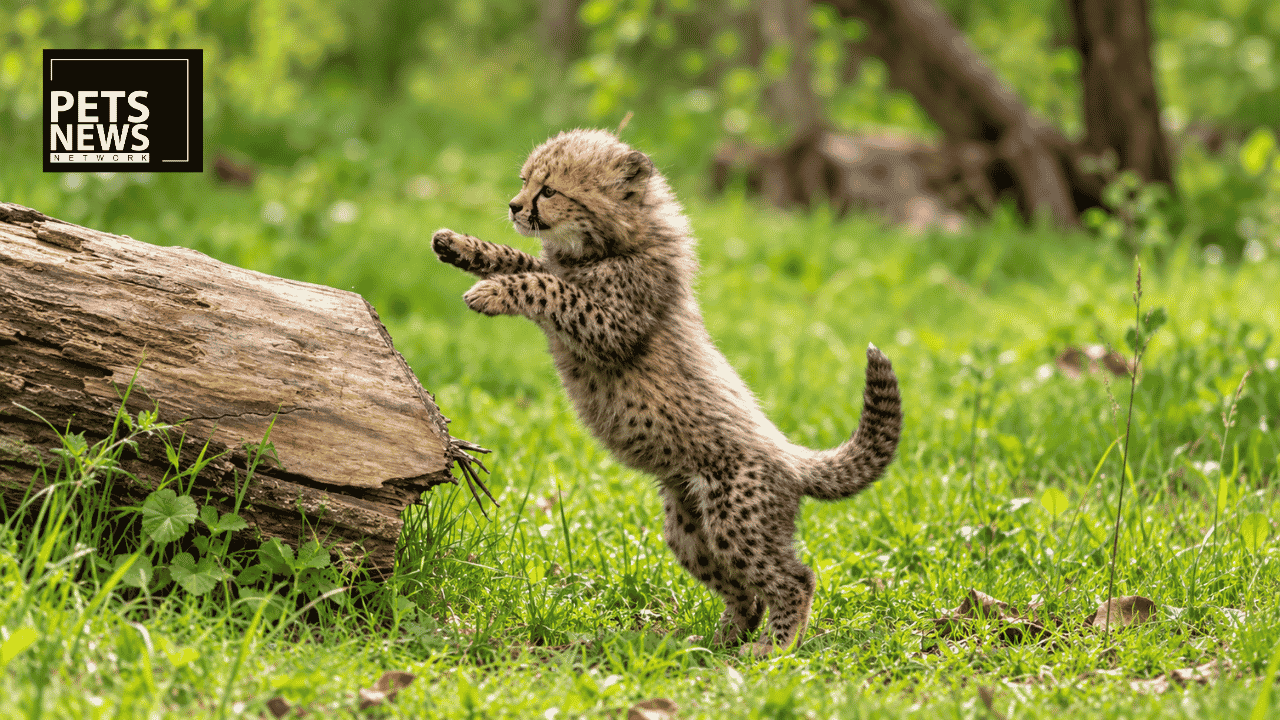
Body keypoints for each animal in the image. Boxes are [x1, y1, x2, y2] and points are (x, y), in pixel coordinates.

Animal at [431, 128, 902, 657]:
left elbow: (547, 284)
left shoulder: (611, 327)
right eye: (524, 182)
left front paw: (493, 292)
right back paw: (714, 640)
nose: (514, 206)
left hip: (737, 518)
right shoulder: (567, 273)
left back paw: (772, 648)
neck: (610, 242)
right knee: (743, 591)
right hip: (690, 529)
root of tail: (790, 456)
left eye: (548, 190)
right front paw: (460, 246)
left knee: (793, 578)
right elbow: (525, 260)